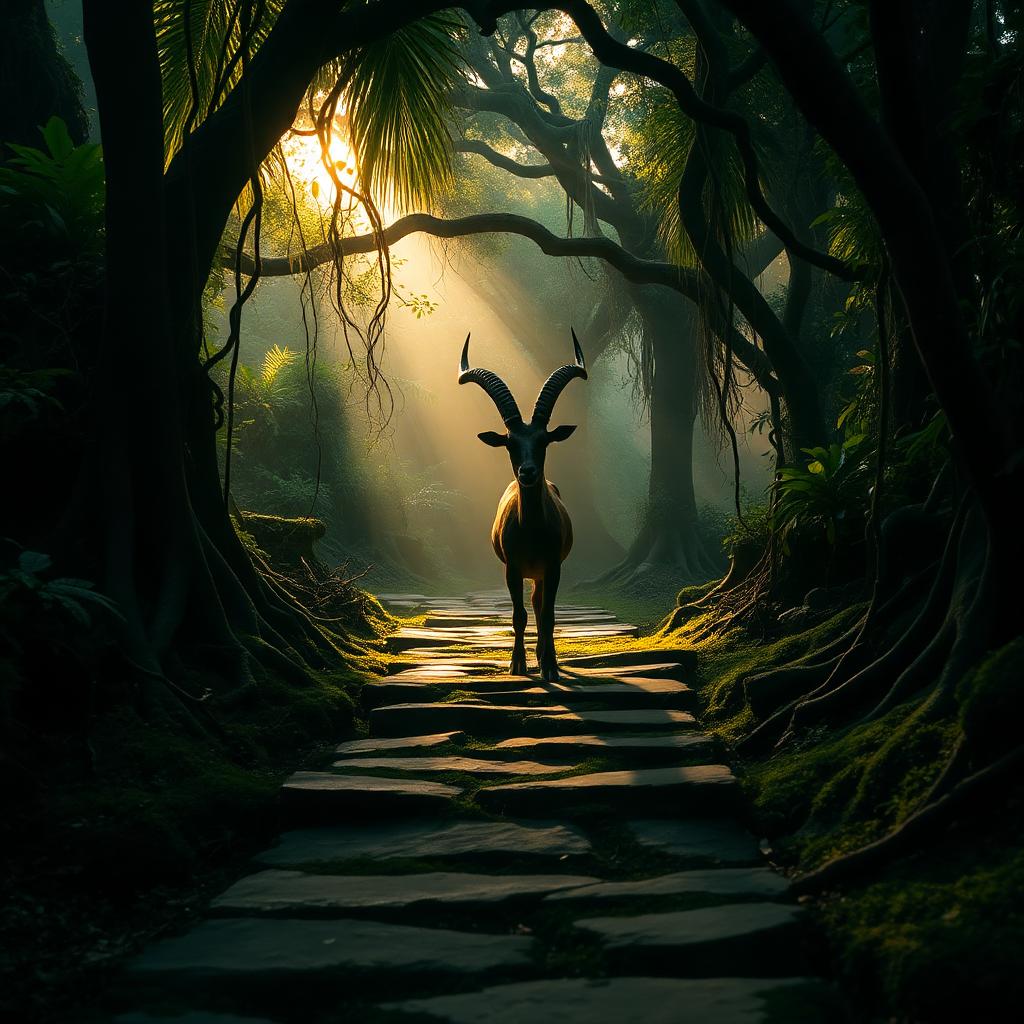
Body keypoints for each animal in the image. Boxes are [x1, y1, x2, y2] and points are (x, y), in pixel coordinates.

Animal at [459, 330, 587, 681]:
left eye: (544, 441)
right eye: (509, 442)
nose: (527, 472)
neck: (531, 530)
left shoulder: (553, 567)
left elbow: (549, 615)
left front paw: (551, 668)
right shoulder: (513, 568)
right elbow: (519, 615)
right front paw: (517, 664)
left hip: (541, 573)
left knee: (541, 606)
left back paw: (544, 657)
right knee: (532, 604)